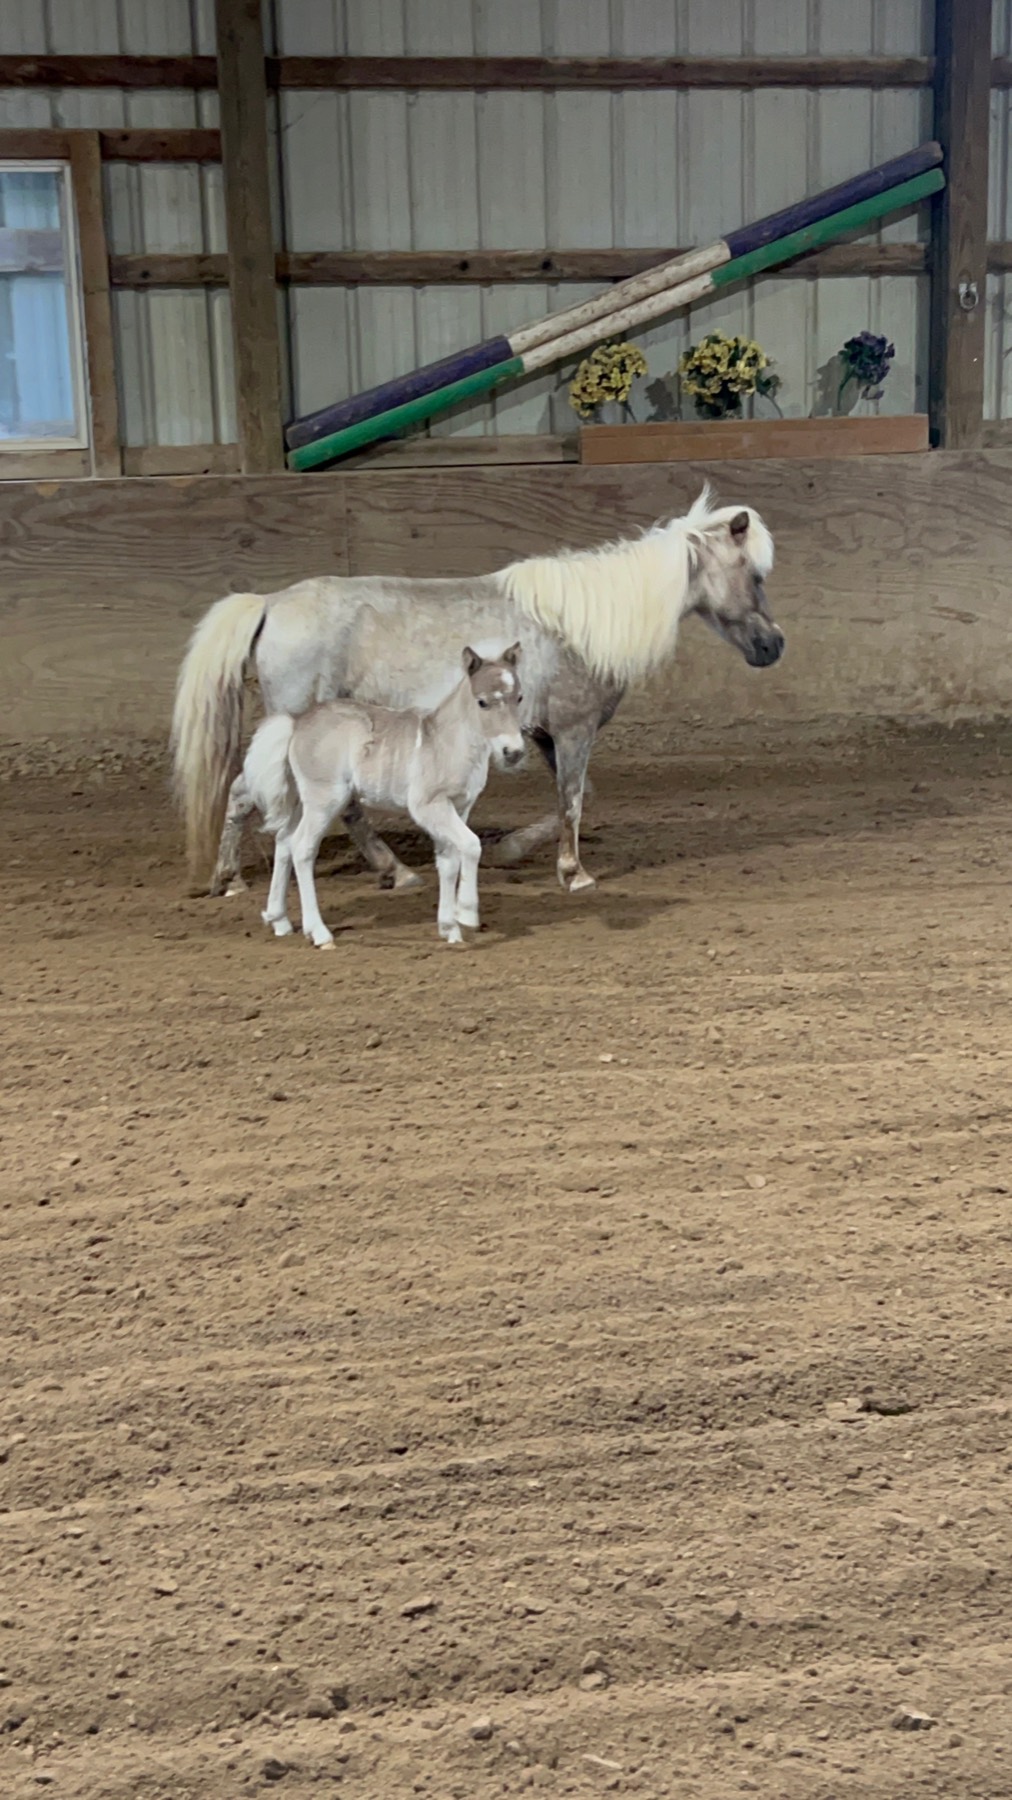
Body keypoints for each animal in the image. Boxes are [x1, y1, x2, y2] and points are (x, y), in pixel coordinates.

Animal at [171, 486, 783, 898]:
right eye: (754, 574)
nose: (774, 645)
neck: (576, 626)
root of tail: (271, 602)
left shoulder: (545, 735)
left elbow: (573, 798)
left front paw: (513, 850)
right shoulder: (575, 730)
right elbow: (573, 801)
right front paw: (574, 873)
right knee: (258, 795)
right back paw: (241, 878)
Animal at [244, 646, 525, 948]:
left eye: (519, 697)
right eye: (482, 702)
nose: (513, 752)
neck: (445, 743)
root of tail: (297, 724)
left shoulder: (459, 808)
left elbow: (449, 862)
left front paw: (450, 930)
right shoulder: (429, 806)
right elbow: (472, 846)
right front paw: (467, 914)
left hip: (302, 800)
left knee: (284, 841)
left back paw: (279, 921)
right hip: (325, 800)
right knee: (302, 848)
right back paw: (320, 933)